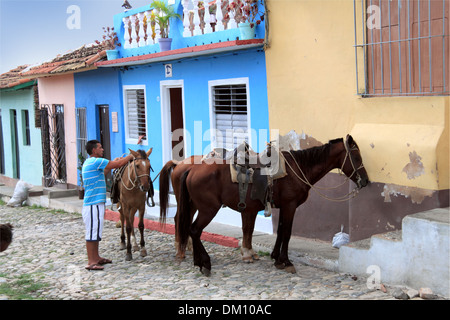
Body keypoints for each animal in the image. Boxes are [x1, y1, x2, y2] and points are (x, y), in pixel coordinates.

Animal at [160, 134, 368, 276]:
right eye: (357, 157)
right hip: (208, 208)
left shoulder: (283, 206)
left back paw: (194, 259)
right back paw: (204, 263)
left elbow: (280, 230)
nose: (365, 181)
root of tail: (191, 169)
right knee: (194, 229)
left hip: (194, 205)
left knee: (187, 226)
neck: (296, 169)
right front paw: (286, 261)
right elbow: (286, 232)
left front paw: (276, 257)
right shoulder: (290, 205)